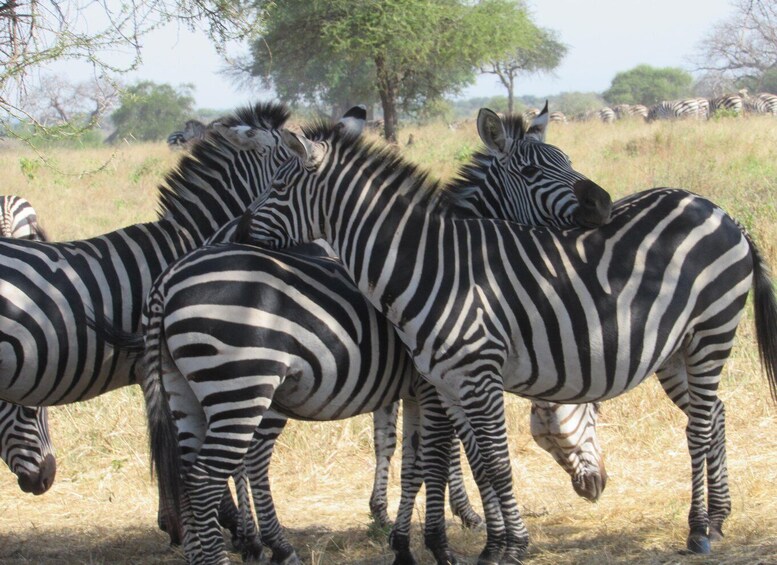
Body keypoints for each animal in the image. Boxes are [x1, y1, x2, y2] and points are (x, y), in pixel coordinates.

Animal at [98, 106, 613, 565]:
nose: (603, 205)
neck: (443, 264)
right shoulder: (438, 384)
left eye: (566, 159)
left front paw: (407, 540)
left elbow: (415, 459)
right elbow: (454, 456)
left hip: (188, 389)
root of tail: (167, 280)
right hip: (245, 384)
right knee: (229, 468)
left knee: (194, 470)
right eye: (530, 171)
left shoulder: (417, 387)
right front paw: (461, 539)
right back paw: (264, 545)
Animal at [233, 121, 777, 563]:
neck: (429, 265)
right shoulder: (445, 382)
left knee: (700, 426)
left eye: (278, 186)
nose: (237, 231)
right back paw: (718, 519)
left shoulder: (475, 375)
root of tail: (719, 211)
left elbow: (480, 461)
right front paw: (490, 544)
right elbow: (476, 462)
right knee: (715, 414)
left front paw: (503, 546)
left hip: (711, 329)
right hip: (676, 349)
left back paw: (699, 529)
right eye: (534, 169)